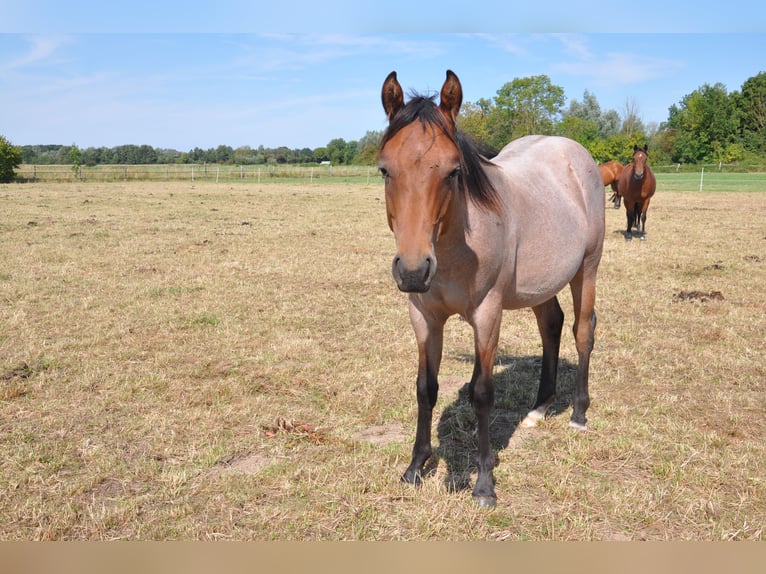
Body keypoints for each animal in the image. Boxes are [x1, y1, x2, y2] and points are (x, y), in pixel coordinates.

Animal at [378, 70, 605, 507]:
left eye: (453, 171)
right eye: (384, 170)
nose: (413, 271)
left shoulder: (487, 314)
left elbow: (482, 392)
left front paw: (484, 485)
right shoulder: (424, 317)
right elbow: (425, 388)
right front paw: (415, 467)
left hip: (586, 269)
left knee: (582, 331)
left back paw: (579, 414)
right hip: (541, 284)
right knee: (551, 325)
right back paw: (538, 408)